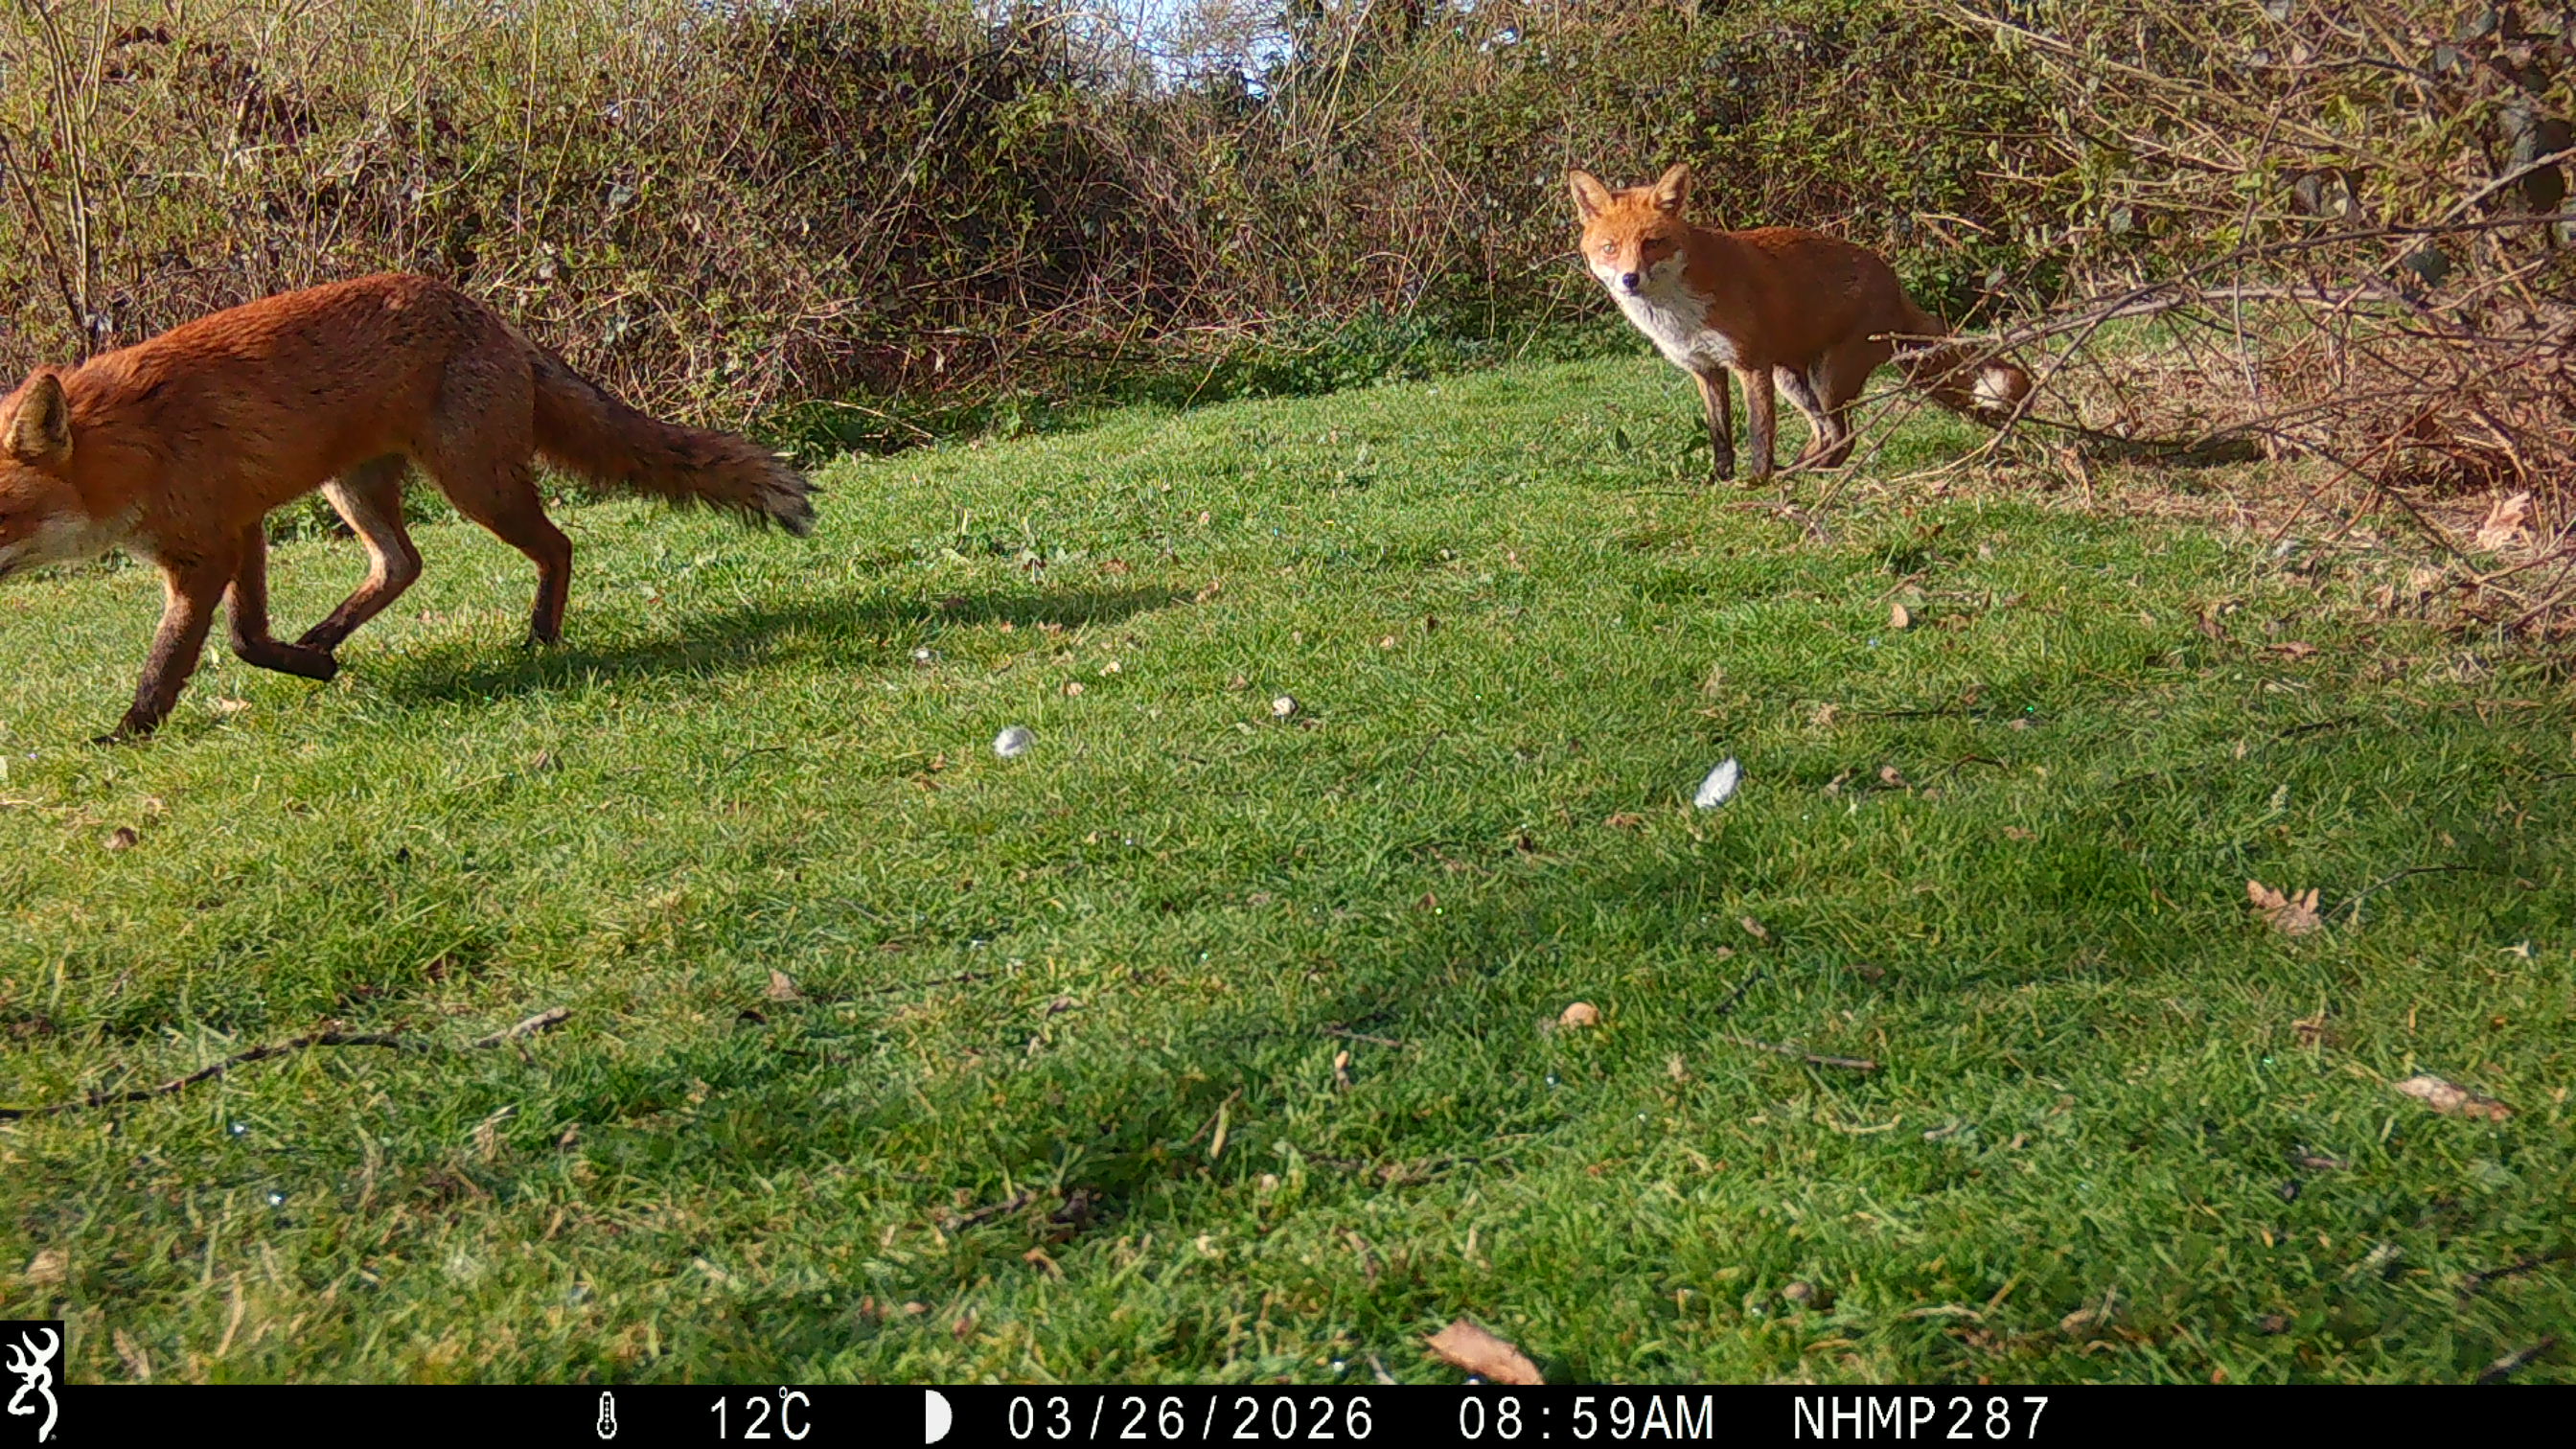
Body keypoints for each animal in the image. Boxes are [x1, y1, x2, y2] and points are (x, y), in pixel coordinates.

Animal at [0, 273, 814, 741]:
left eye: (1, 515)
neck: (133, 449)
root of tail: (481, 309)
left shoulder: (213, 544)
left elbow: (182, 655)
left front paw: (130, 731)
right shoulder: (242, 525)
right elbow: (248, 637)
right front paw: (309, 664)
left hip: (476, 484)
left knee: (559, 545)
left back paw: (540, 636)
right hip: (354, 488)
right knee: (403, 564)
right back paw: (327, 635)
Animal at [1569, 163, 2032, 483]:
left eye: (1653, 243)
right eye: (1610, 248)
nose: (1630, 279)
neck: (1678, 312)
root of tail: (1893, 280)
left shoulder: (1750, 364)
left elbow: (1758, 433)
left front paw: (1755, 482)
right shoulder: (1707, 370)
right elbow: (1721, 435)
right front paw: (1721, 480)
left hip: (1827, 377)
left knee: (1843, 436)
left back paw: (1798, 475)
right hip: (1794, 380)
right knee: (1826, 434)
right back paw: (1799, 472)